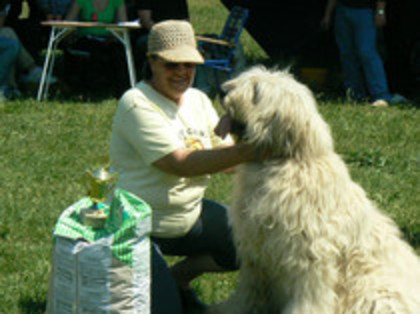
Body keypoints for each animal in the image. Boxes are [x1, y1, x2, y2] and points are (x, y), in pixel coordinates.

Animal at [210, 67, 420, 314]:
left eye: (256, 91)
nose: (222, 90)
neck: (285, 162)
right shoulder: (255, 251)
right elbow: (249, 291)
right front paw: (229, 308)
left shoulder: (309, 256)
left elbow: (308, 298)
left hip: (375, 292)